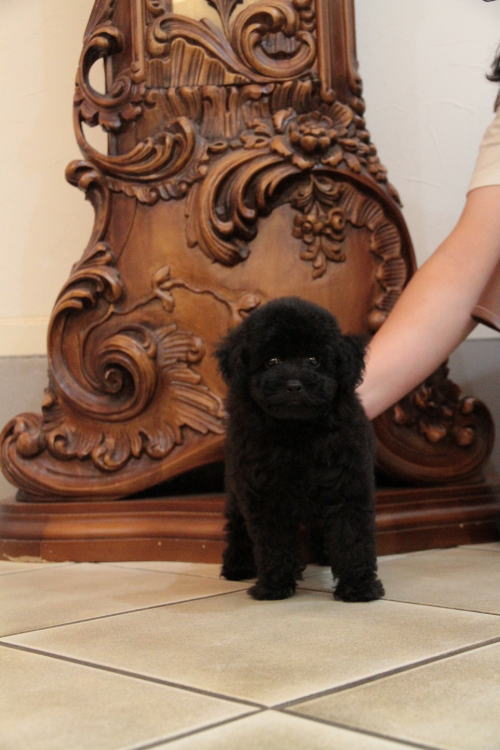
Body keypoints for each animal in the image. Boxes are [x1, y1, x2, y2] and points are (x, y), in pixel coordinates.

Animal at [215, 296, 384, 602]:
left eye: (313, 360)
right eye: (272, 361)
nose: (294, 385)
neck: (297, 431)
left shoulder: (347, 484)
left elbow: (352, 536)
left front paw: (359, 587)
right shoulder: (262, 491)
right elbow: (272, 542)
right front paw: (273, 586)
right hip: (235, 489)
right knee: (237, 527)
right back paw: (237, 565)